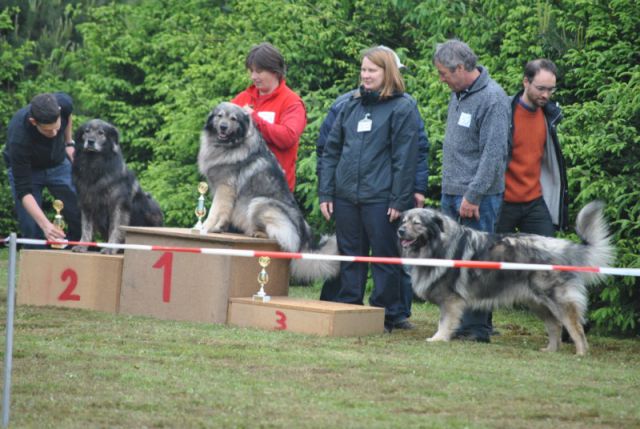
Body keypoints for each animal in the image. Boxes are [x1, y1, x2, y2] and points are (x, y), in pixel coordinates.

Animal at [71, 118, 164, 252]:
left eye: (101, 133)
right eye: (86, 131)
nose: (90, 142)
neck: (94, 166)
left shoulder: (118, 205)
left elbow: (115, 228)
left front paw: (110, 248)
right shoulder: (87, 204)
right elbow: (86, 228)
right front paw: (82, 245)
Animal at [198, 100, 340, 280]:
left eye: (233, 119)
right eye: (219, 116)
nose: (223, 127)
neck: (231, 145)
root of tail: (303, 239)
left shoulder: (225, 188)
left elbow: (215, 211)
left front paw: (204, 228)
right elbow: (223, 213)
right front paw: (219, 228)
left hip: (259, 203)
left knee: (278, 237)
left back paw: (257, 233)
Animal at [400, 201, 616, 354]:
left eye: (416, 223)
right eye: (404, 221)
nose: (399, 230)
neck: (437, 244)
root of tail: (564, 248)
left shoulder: (450, 299)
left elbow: (444, 321)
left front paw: (438, 338)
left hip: (558, 301)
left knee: (575, 327)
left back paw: (580, 353)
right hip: (538, 303)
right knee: (555, 325)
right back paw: (550, 350)